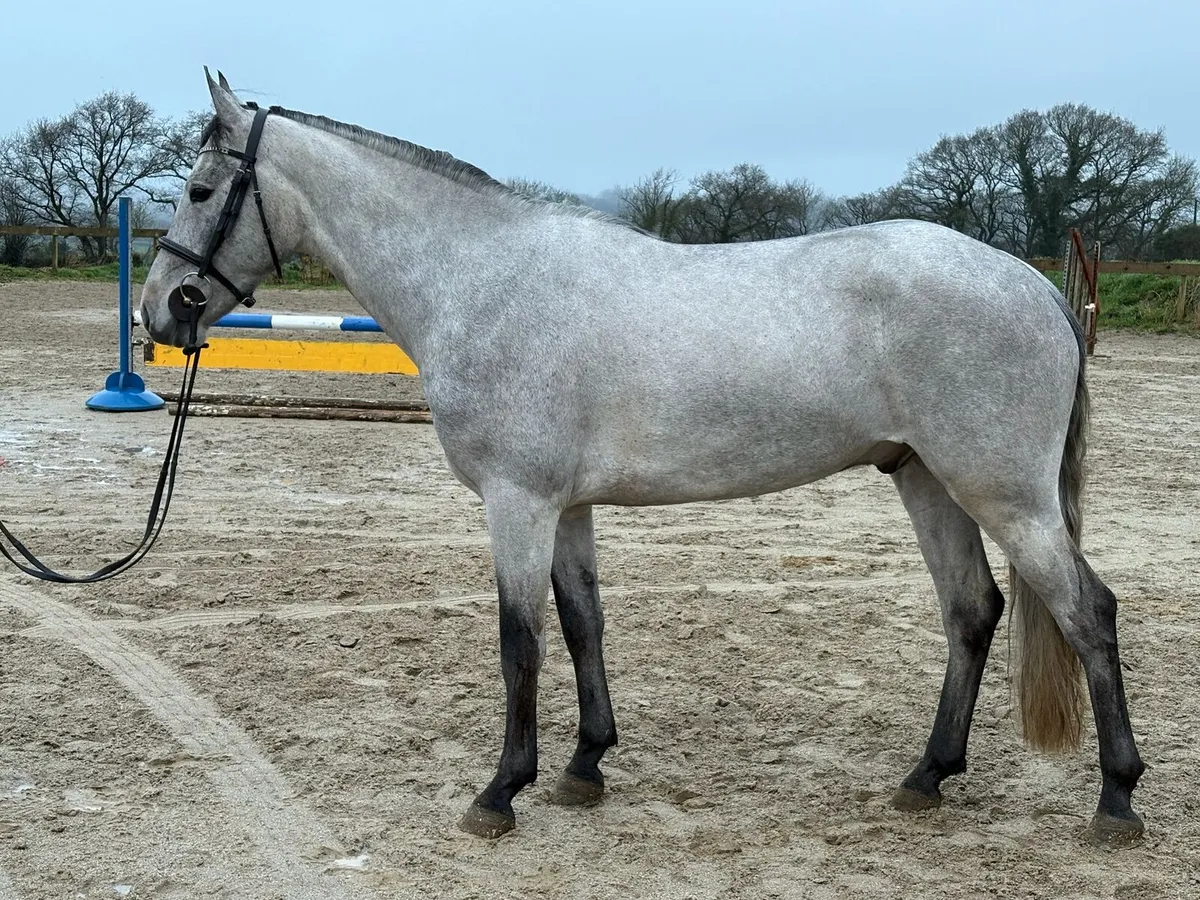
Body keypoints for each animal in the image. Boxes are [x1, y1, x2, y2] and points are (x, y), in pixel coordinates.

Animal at [137, 70, 1145, 845]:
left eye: (199, 192)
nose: (161, 312)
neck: (482, 280)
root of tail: (1035, 288)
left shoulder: (517, 501)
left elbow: (519, 640)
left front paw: (500, 792)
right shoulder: (567, 506)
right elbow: (582, 622)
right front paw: (585, 765)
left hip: (1004, 493)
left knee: (1088, 612)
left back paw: (1117, 802)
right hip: (928, 478)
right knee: (972, 611)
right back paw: (927, 776)